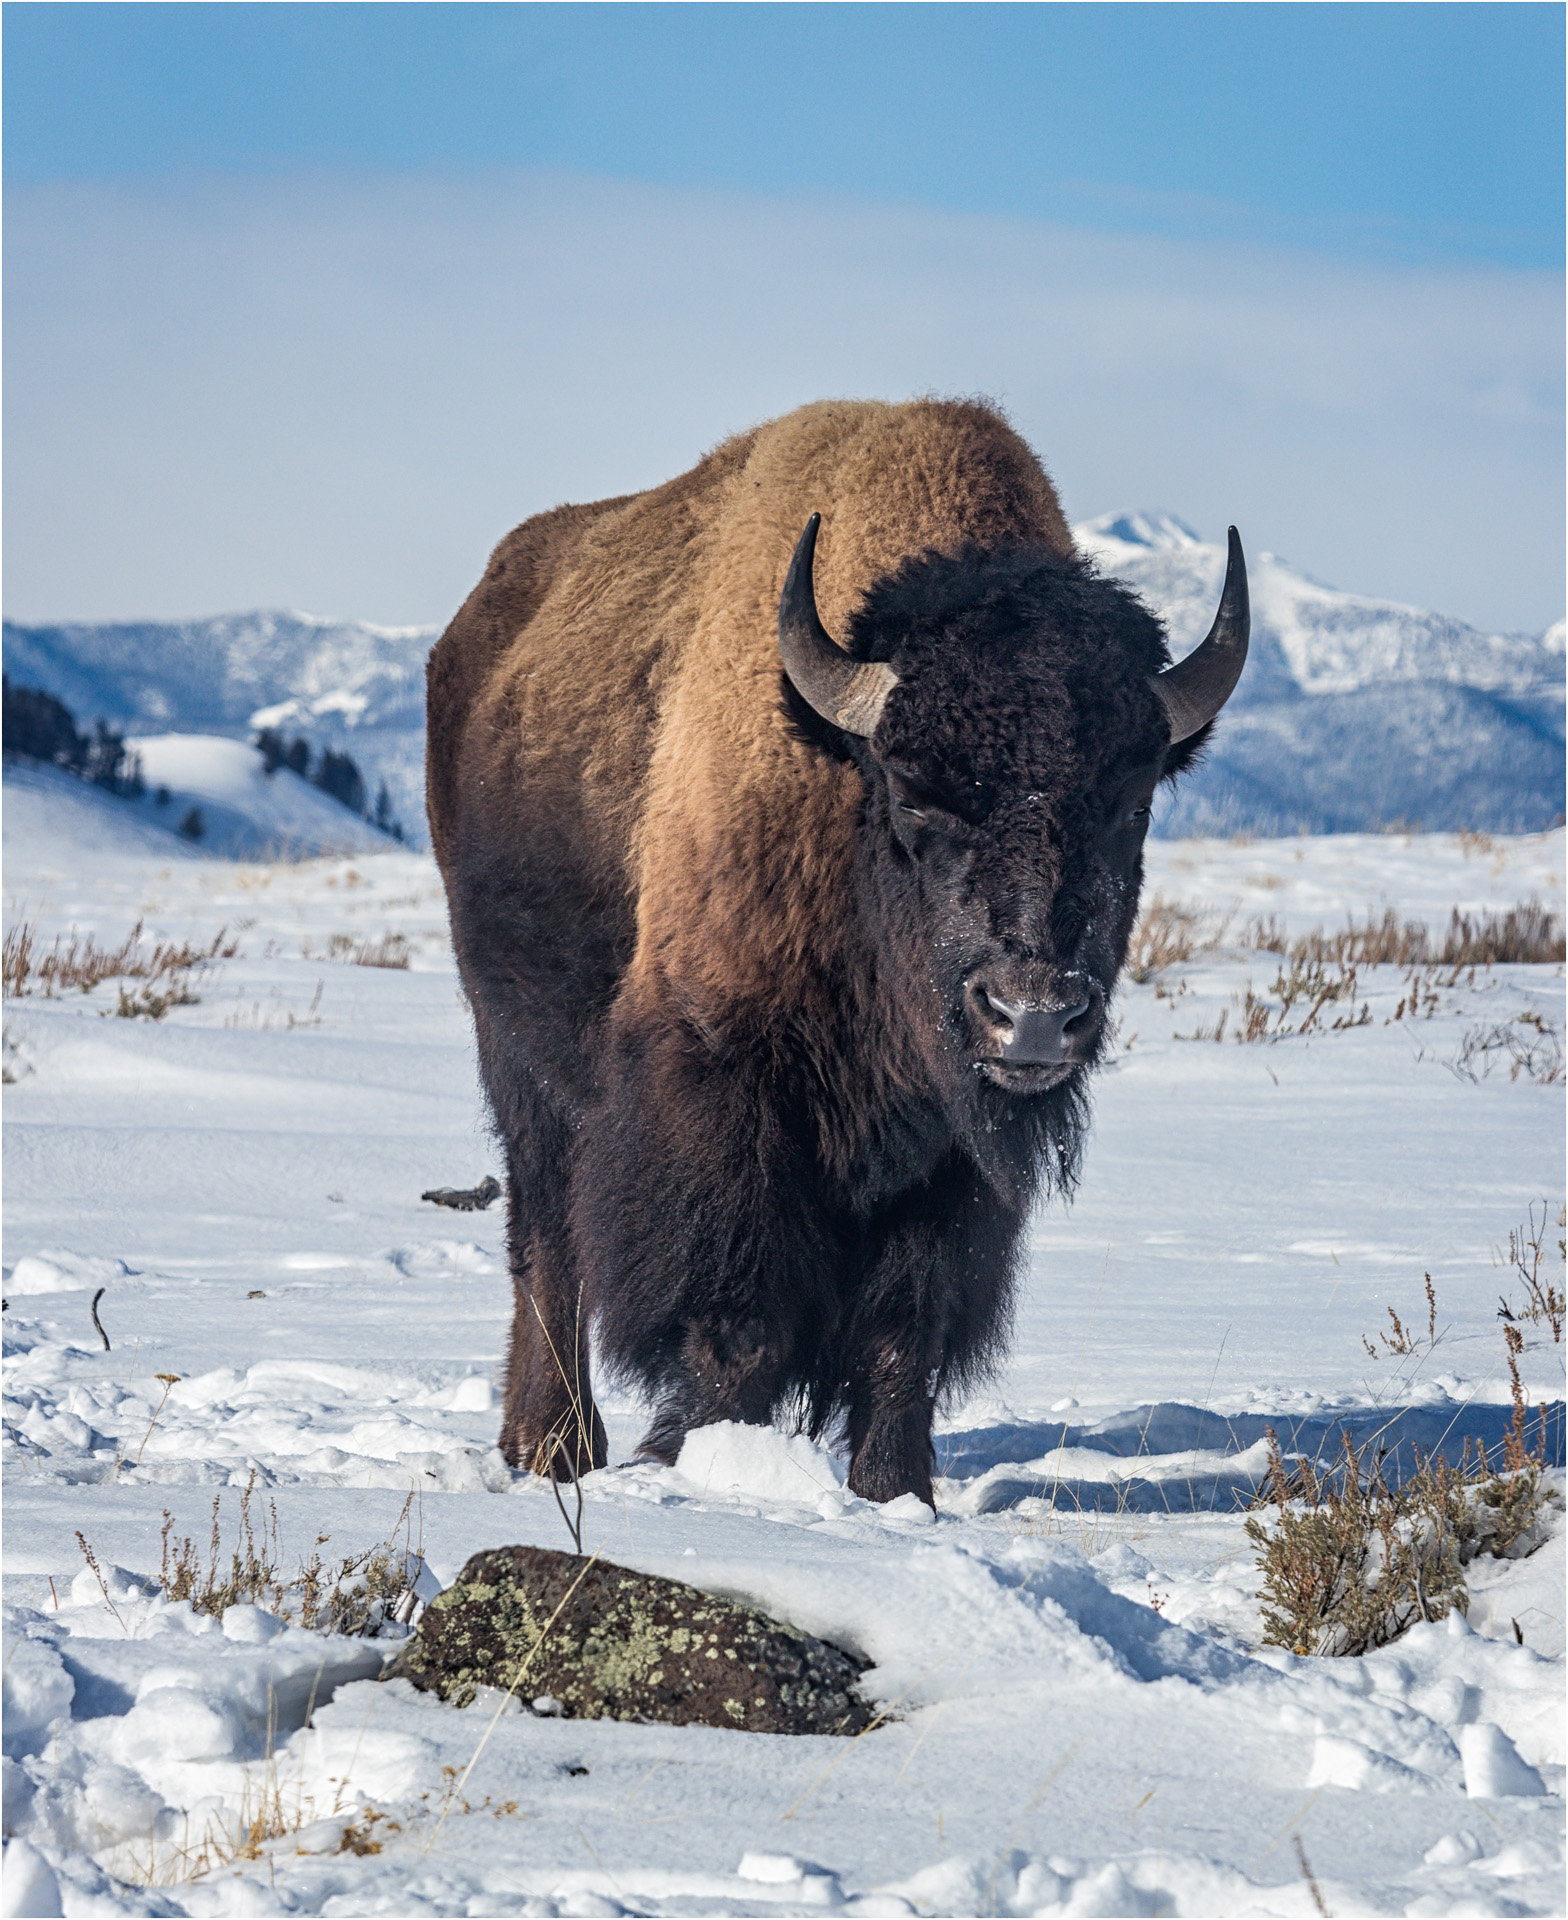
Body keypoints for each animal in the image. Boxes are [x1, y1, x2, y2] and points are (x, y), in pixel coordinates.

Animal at [426, 399, 1248, 1505]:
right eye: (911, 791)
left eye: (1131, 804)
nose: (1032, 1015)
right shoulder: (719, 1087)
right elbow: (737, 1323)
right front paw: (708, 1466)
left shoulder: (950, 1151)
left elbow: (904, 1329)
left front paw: (895, 1495)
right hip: (515, 1052)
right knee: (548, 1242)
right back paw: (554, 1449)